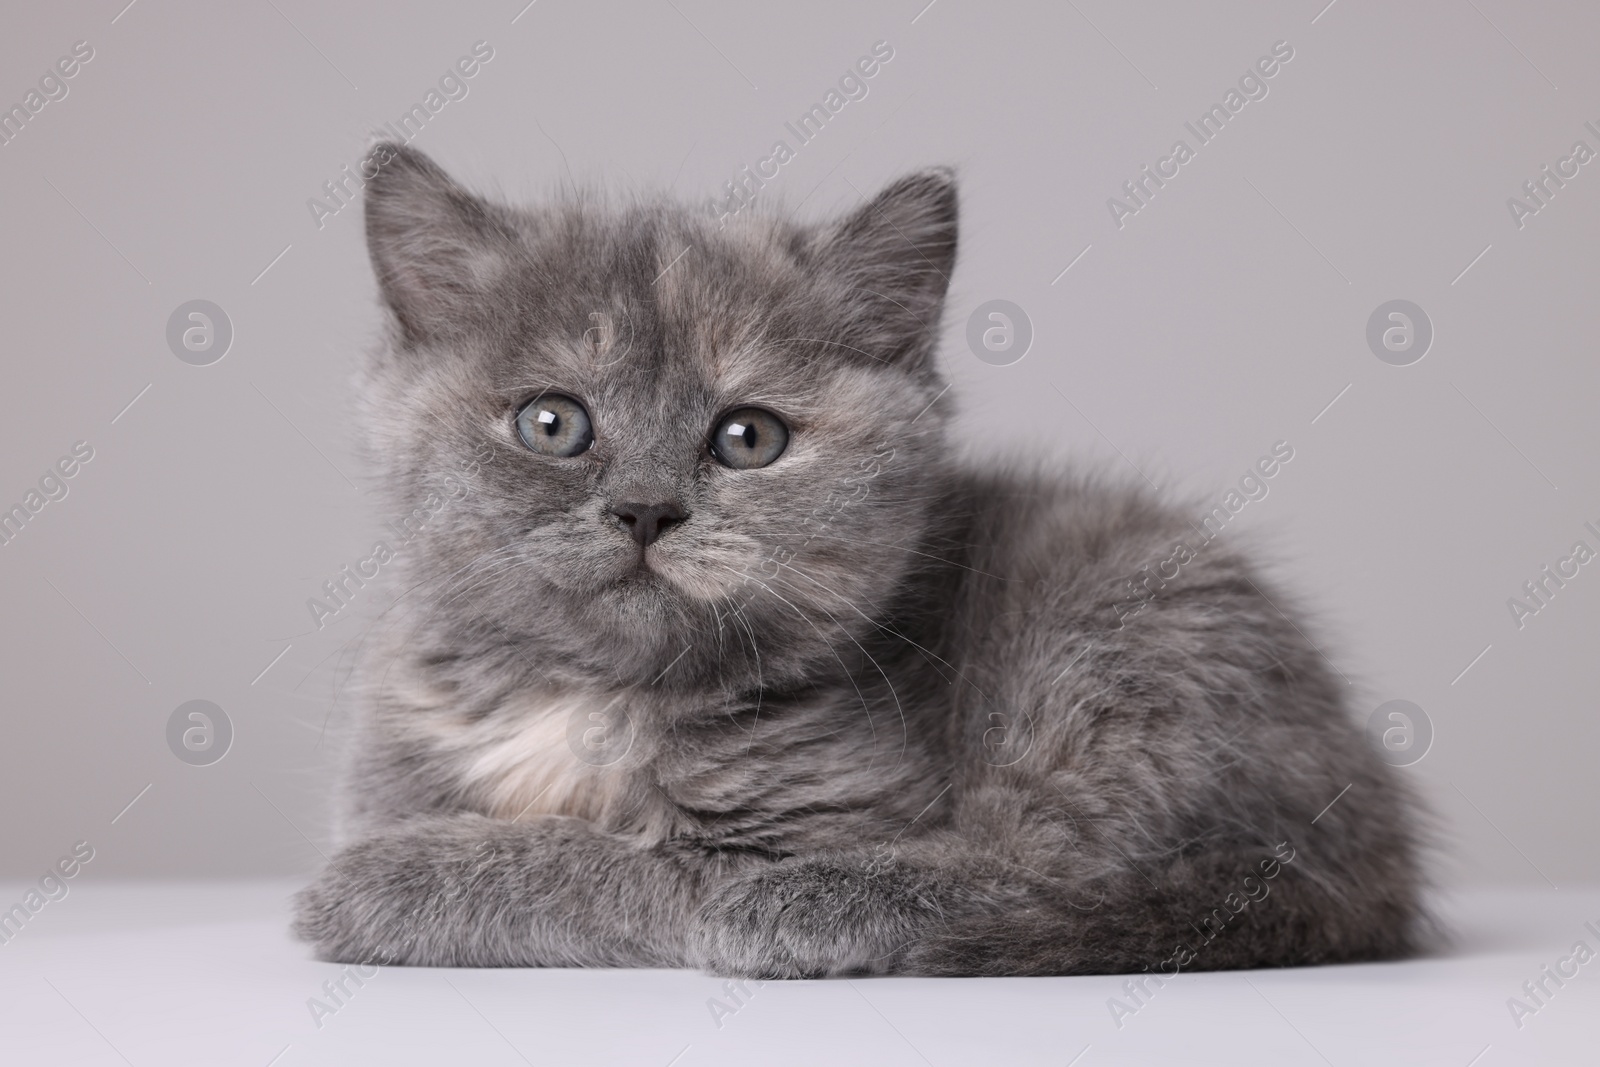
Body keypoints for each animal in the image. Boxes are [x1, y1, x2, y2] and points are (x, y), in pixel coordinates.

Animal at [294, 146, 1433, 979]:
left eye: (748, 436)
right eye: (552, 422)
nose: (647, 509)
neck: (599, 701)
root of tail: (1373, 841)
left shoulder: (822, 814)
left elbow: (617, 866)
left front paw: (383, 882)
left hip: (1118, 656)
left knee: (1062, 872)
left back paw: (819, 904)